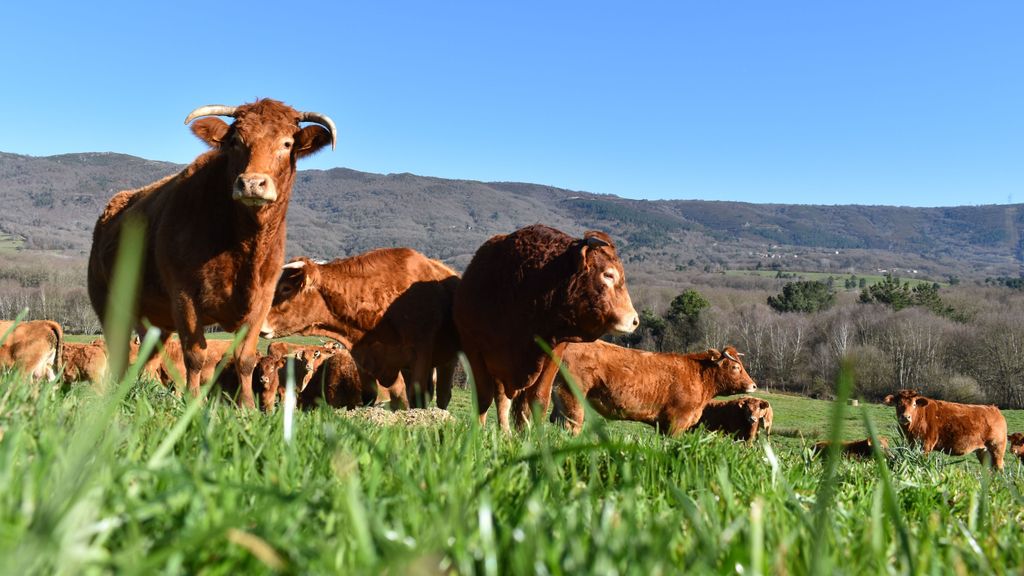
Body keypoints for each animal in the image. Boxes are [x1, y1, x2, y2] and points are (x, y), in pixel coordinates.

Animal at [87, 98, 335, 405]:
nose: (252, 183)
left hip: (154, 319)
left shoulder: (262, 298)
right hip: (108, 302)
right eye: (236, 141)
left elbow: (245, 358)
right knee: (120, 351)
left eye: (287, 143)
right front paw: (193, 402)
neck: (244, 245)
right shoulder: (184, 295)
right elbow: (195, 356)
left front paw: (247, 407)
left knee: (147, 356)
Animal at [260, 249, 460, 409]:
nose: (260, 324)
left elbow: (415, 396)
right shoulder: (363, 359)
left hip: (447, 361)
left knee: (442, 396)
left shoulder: (420, 357)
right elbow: (370, 397)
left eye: (286, 288)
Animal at [452, 224, 634, 430]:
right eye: (608, 274)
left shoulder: (551, 354)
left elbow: (538, 399)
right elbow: (484, 398)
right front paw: (478, 431)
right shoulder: (474, 351)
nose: (634, 320)